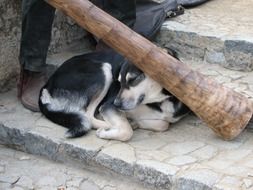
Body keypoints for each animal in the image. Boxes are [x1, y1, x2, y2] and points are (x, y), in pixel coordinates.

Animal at [38, 49, 190, 141]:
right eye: (119, 81)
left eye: (133, 79)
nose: (116, 103)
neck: (160, 101)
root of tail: (47, 85)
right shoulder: (107, 106)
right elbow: (127, 131)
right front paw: (109, 131)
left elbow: (163, 124)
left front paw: (135, 122)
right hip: (103, 70)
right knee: (87, 115)